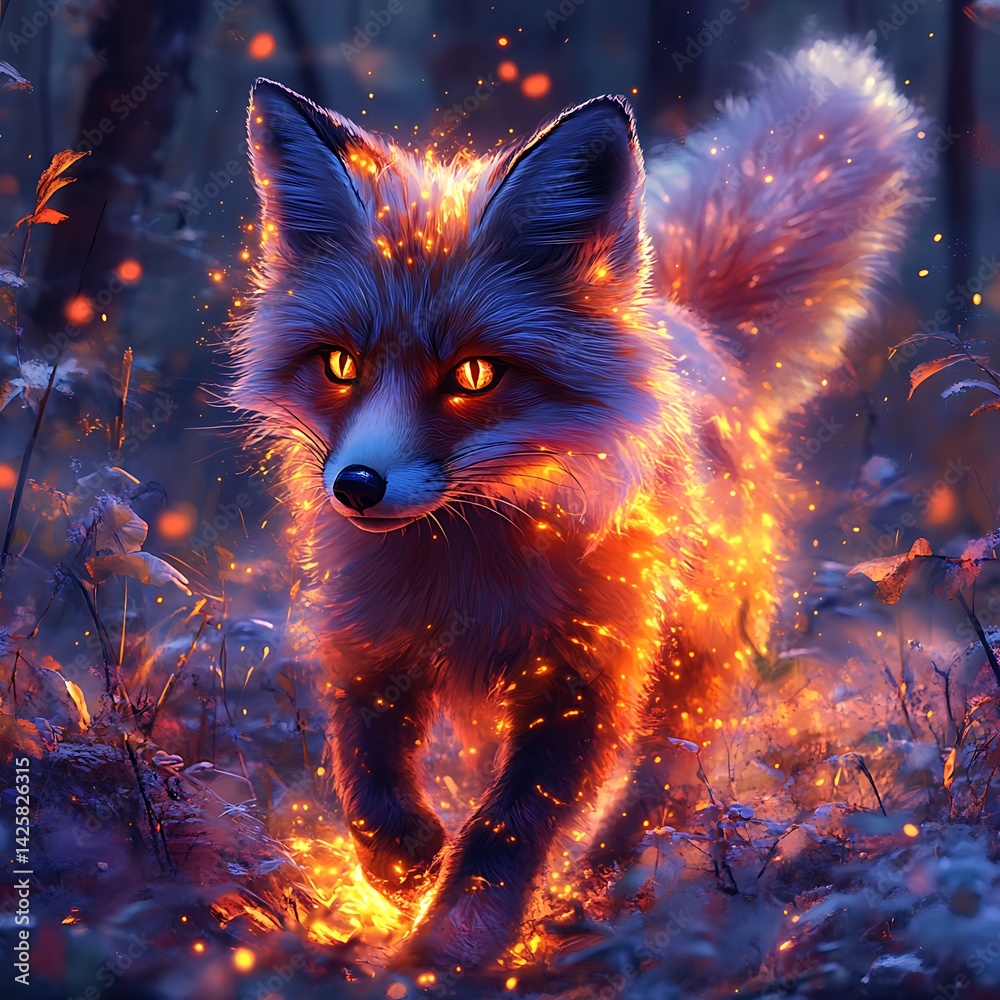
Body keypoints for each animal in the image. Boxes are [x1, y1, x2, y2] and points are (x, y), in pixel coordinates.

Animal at [230, 40, 922, 968]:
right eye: (340, 364)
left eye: (473, 375)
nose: (357, 486)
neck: (469, 567)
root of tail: (686, 324)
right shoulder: (370, 644)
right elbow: (368, 783)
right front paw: (406, 871)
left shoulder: (584, 678)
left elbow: (509, 825)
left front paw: (459, 937)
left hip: (686, 681)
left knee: (655, 797)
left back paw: (601, 892)